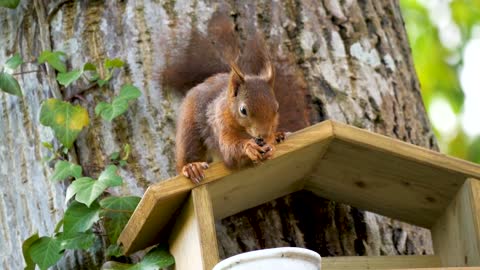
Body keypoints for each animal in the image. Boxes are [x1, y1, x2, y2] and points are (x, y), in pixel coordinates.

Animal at [165, 12, 284, 184]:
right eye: (243, 110)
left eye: (277, 108)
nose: (262, 137)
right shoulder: (220, 123)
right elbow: (229, 148)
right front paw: (249, 147)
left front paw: (272, 143)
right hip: (189, 128)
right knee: (187, 154)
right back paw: (191, 167)